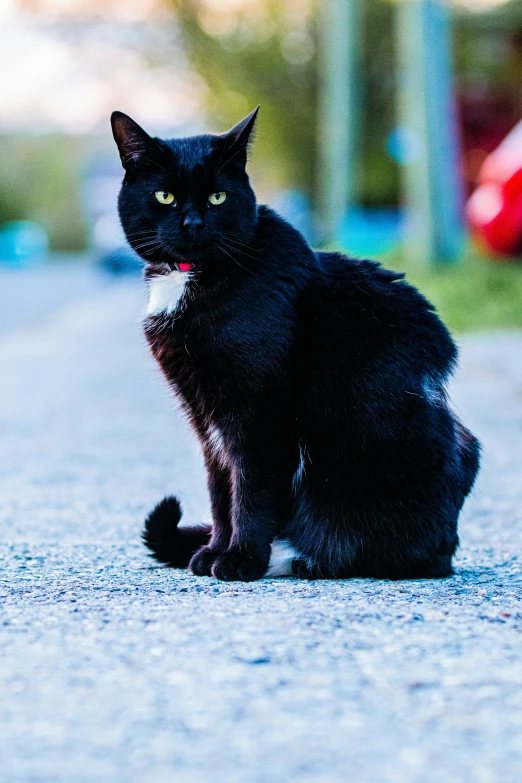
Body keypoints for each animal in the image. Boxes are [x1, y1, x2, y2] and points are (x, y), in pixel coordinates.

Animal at [110, 107, 480, 580]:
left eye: (217, 198)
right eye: (164, 197)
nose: (192, 223)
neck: (192, 278)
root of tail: (448, 549)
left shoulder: (261, 413)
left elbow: (251, 488)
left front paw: (241, 559)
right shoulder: (205, 415)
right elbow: (220, 488)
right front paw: (214, 551)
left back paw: (307, 559)